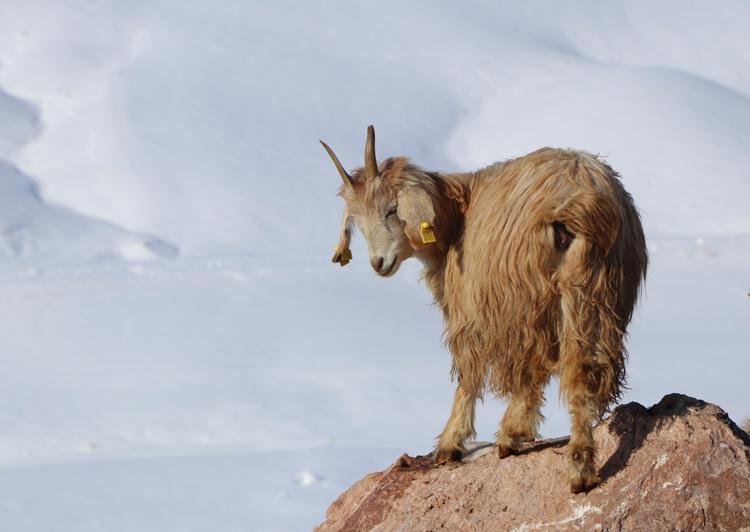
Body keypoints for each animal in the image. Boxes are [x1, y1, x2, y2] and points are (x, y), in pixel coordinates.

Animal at [320, 127, 648, 492]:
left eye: (392, 209)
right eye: (358, 223)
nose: (379, 263)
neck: (457, 213)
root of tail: (580, 194)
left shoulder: (470, 307)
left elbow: (469, 373)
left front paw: (450, 444)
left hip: (525, 292)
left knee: (531, 364)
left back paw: (512, 437)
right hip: (596, 291)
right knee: (582, 367)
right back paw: (580, 468)